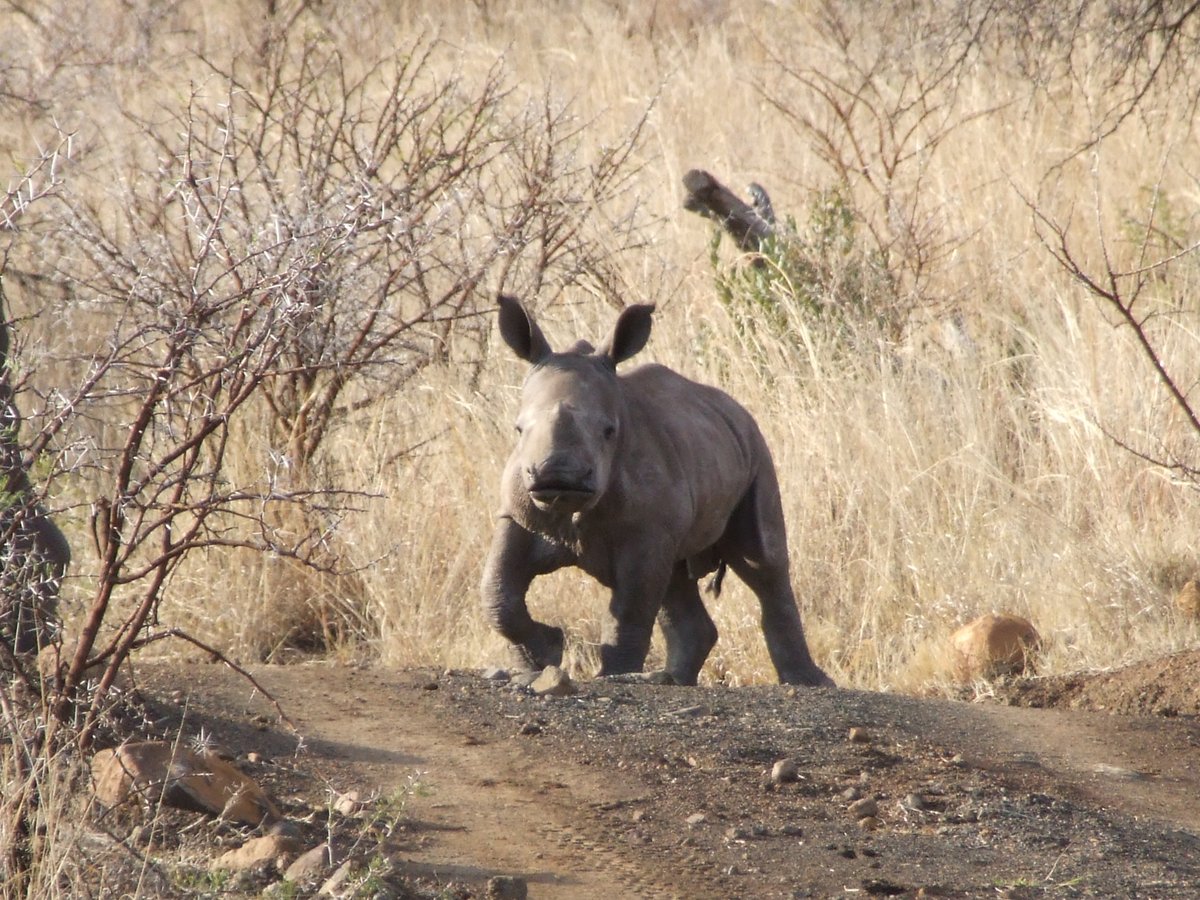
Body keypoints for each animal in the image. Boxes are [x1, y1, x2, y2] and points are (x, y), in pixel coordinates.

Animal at [482, 292, 830, 686]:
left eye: (610, 431)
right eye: (518, 429)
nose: (559, 476)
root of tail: (735, 408)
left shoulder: (646, 532)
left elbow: (630, 608)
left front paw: (613, 674)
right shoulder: (519, 514)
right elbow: (497, 592)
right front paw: (542, 654)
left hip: (757, 452)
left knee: (762, 563)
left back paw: (809, 682)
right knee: (676, 580)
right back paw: (671, 679)